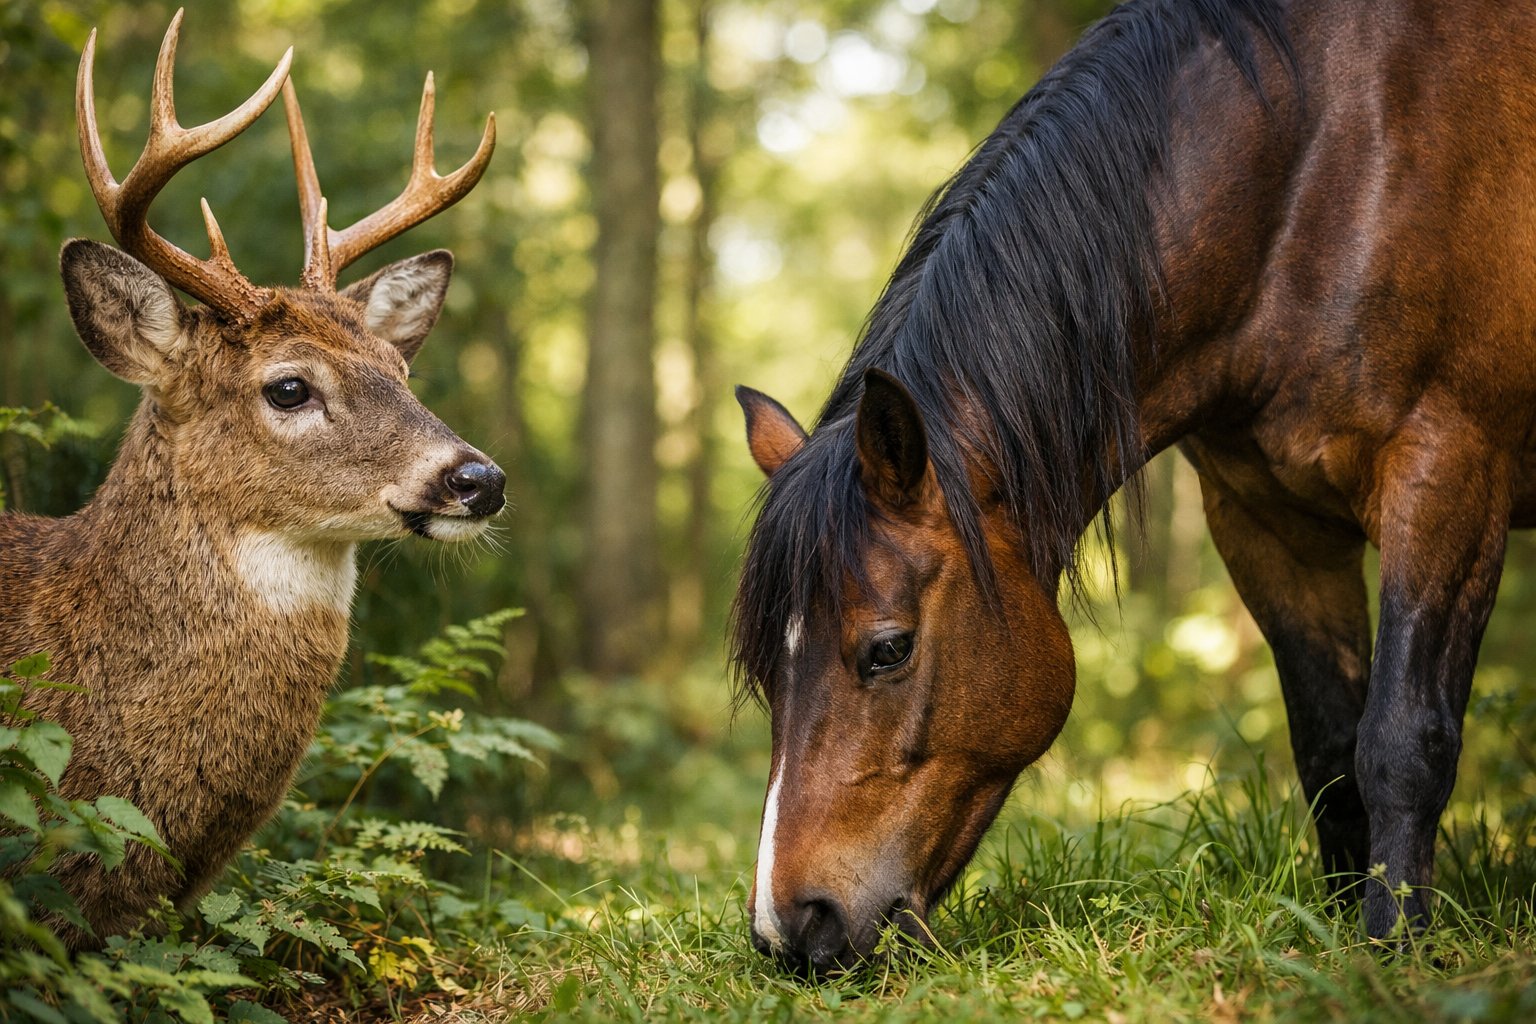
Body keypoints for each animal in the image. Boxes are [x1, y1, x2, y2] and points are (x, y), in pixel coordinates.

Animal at [731, 0, 1536, 971]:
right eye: (765, 669)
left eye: (888, 650)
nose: (790, 928)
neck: (1327, 172)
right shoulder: (1270, 525)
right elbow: (1331, 751)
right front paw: (1339, 930)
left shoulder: (1447, 479)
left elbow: (1402, 742)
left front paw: (1391, 953)